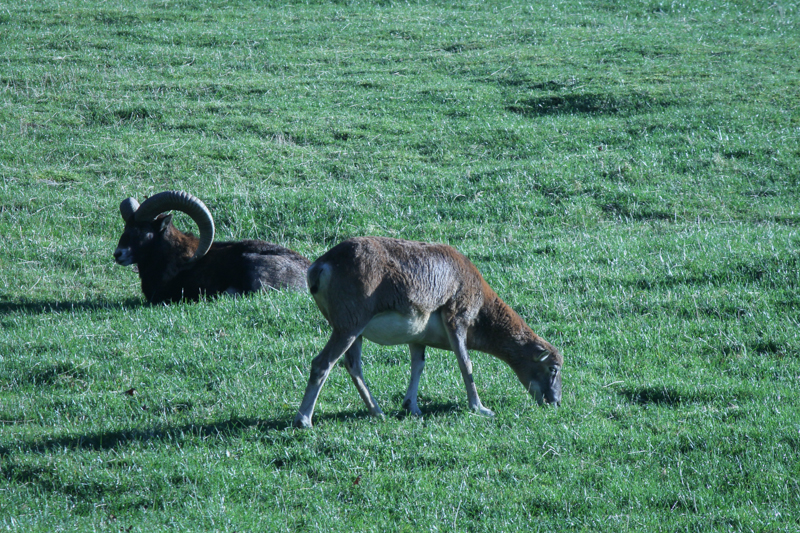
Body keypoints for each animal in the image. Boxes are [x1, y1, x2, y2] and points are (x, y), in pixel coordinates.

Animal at [293, 236, 562, 428]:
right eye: (553, 368)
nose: (555, 402)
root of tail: (322, 265)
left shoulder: (417, 339)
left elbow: (418, 365)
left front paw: (412, 407)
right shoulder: (456, 319)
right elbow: (466, 364)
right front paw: (480, 408)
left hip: (353, 332)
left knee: (353, 366)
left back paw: (378, 413)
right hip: (348, 327)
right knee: (323, 363)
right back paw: (304, 420)